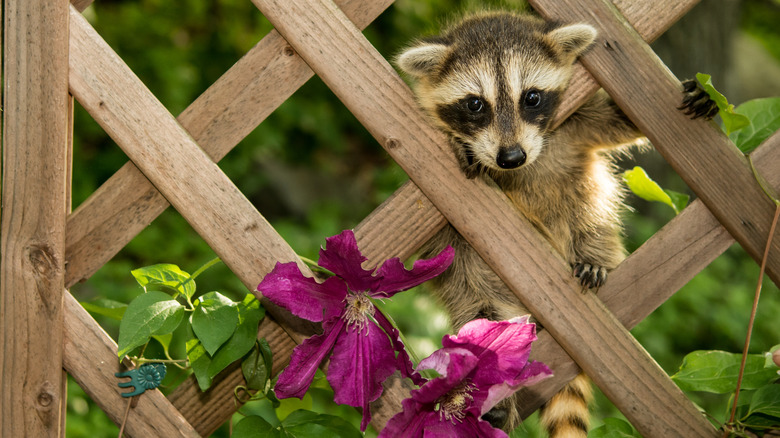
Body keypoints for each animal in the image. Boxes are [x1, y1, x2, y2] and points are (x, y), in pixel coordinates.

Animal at [397, 10, 715, 437]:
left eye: (531, 97)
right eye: (475, 104)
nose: (511, 158)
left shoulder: (574, 124)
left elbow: (618, 119)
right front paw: (457, 142)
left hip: (588, 217)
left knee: (590, 215)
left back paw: (591, 257)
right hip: (475, 277)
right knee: (482, 314)